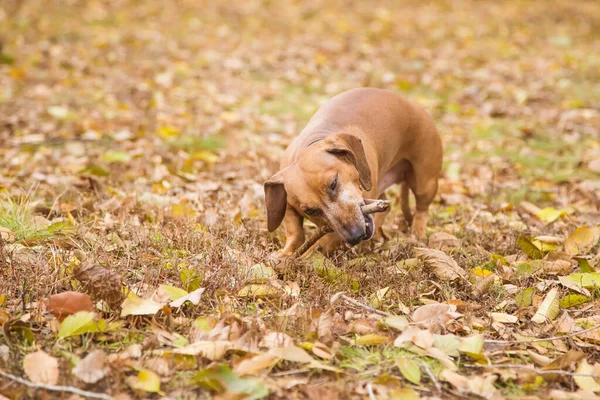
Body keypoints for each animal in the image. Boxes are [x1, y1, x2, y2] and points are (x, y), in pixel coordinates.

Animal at [264, 87, 442, 256]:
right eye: (310, 211)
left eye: (333, 183)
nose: (355, 235)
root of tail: (414, 106)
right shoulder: (290, 207)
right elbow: (295, 232)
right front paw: (287, 253)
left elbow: (320, 243)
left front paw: (302, 256)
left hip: (424, 183)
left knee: (422, 210)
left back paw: (417, 235)